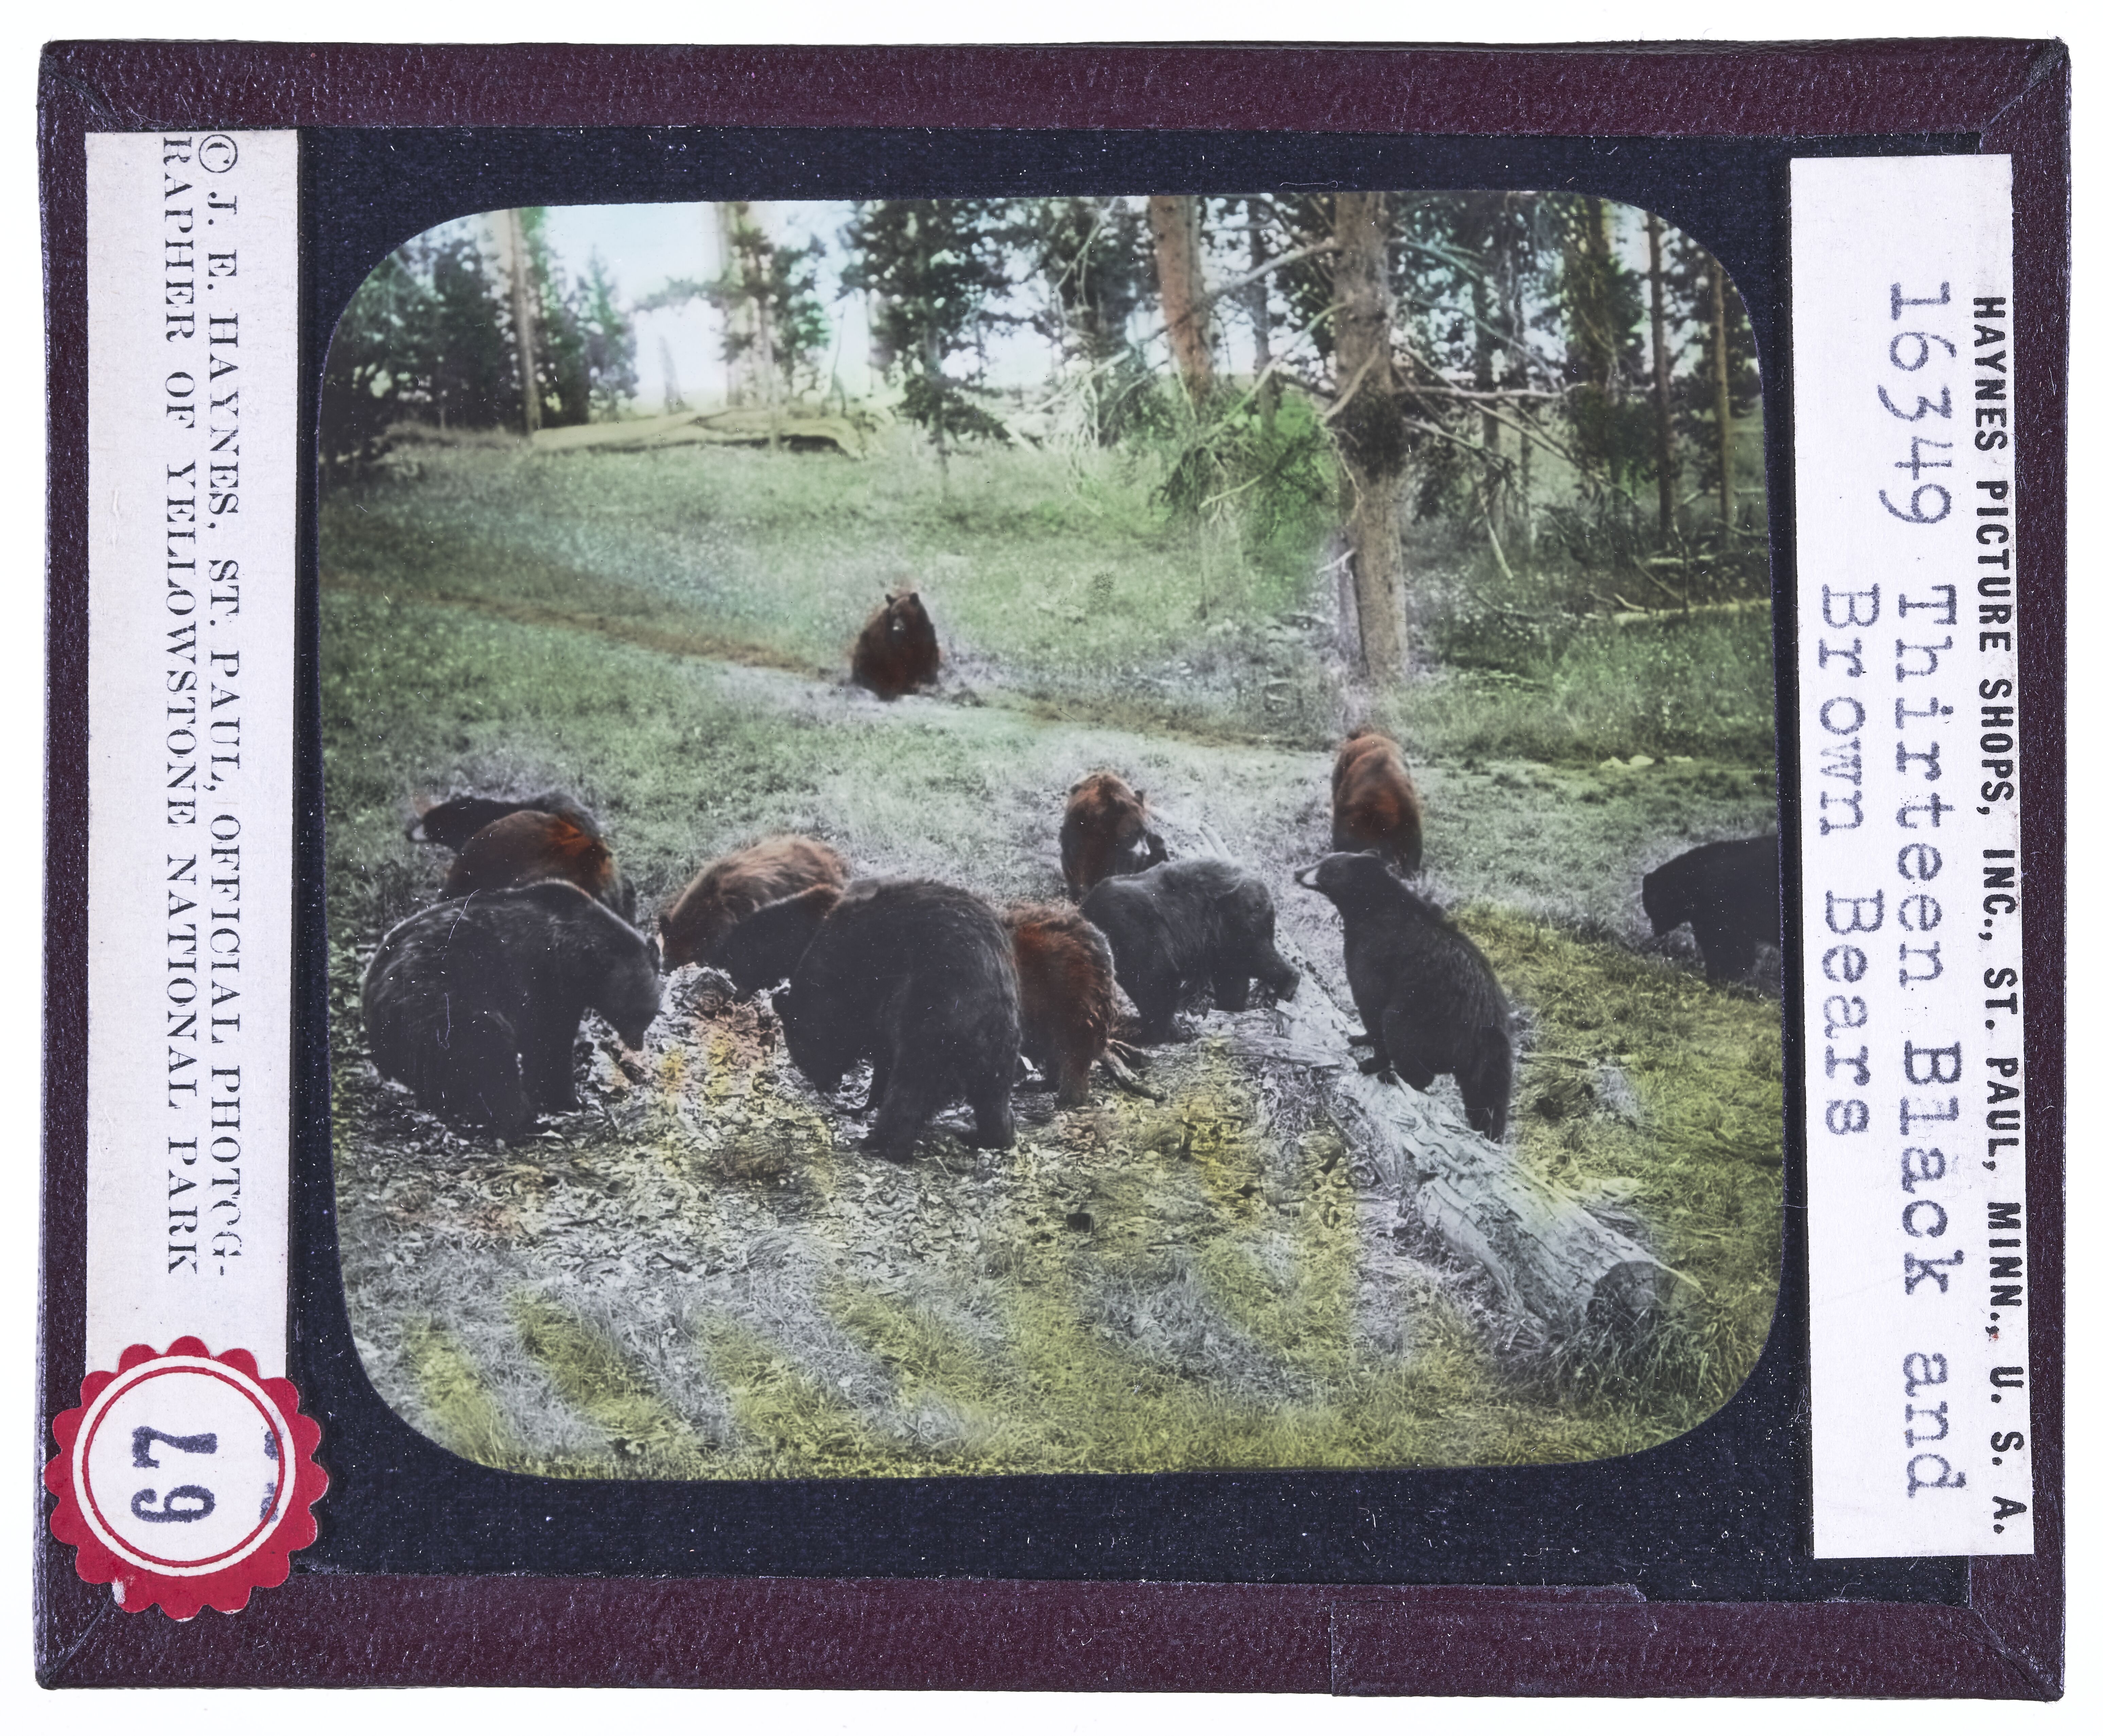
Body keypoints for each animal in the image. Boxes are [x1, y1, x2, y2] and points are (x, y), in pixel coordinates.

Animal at [361, 880, 662, 1142]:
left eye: (650, 1013)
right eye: (636, 1013)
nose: (637, 1044)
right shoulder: (547, 979)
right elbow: (550, 1043)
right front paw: (569, 1100)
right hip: (440, 1000)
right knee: (488, 1050)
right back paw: (523, 1121)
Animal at [770, 877, 1020, 1161]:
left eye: (802, 1050)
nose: (824, 1085)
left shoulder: (876, 993)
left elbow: (886, 1058)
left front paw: (861, 1107)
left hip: (936, 1016)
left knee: (912, 1084)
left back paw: (881, 1142)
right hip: (1002, 1048)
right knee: (993, 1099)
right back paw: (987, 1135)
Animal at [850, 589, 940, 699]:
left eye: (903, 615)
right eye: (894, 616)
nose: (897, 629)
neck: (910, 632)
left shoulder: (924, 632)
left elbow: (927, 651)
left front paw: (930, 677)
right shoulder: (889, 640)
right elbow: (895, 661)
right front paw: (904, 687)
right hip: (867, 649)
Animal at [1079, 858, 1300, 1043]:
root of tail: (1262, 886)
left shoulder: (1129, 927)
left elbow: (1156, 977)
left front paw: (1149, 1035)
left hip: (1237, 923)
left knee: (1256, 957)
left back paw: (1288, 985)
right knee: (1232, 977)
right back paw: (1230, 1009)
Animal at [1294, 851, 1513, 1140]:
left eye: (1326, 867)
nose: (1297, 873)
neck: (1370, 908)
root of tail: (1490, 1028)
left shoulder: (1376, 950)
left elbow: (1370, 999)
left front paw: (1372, 1061)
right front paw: (1358, 1037)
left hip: (1427, 1017)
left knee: (1401, 1033)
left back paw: (1395, 1074)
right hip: (1485, 1062)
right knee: (1487, 1096)